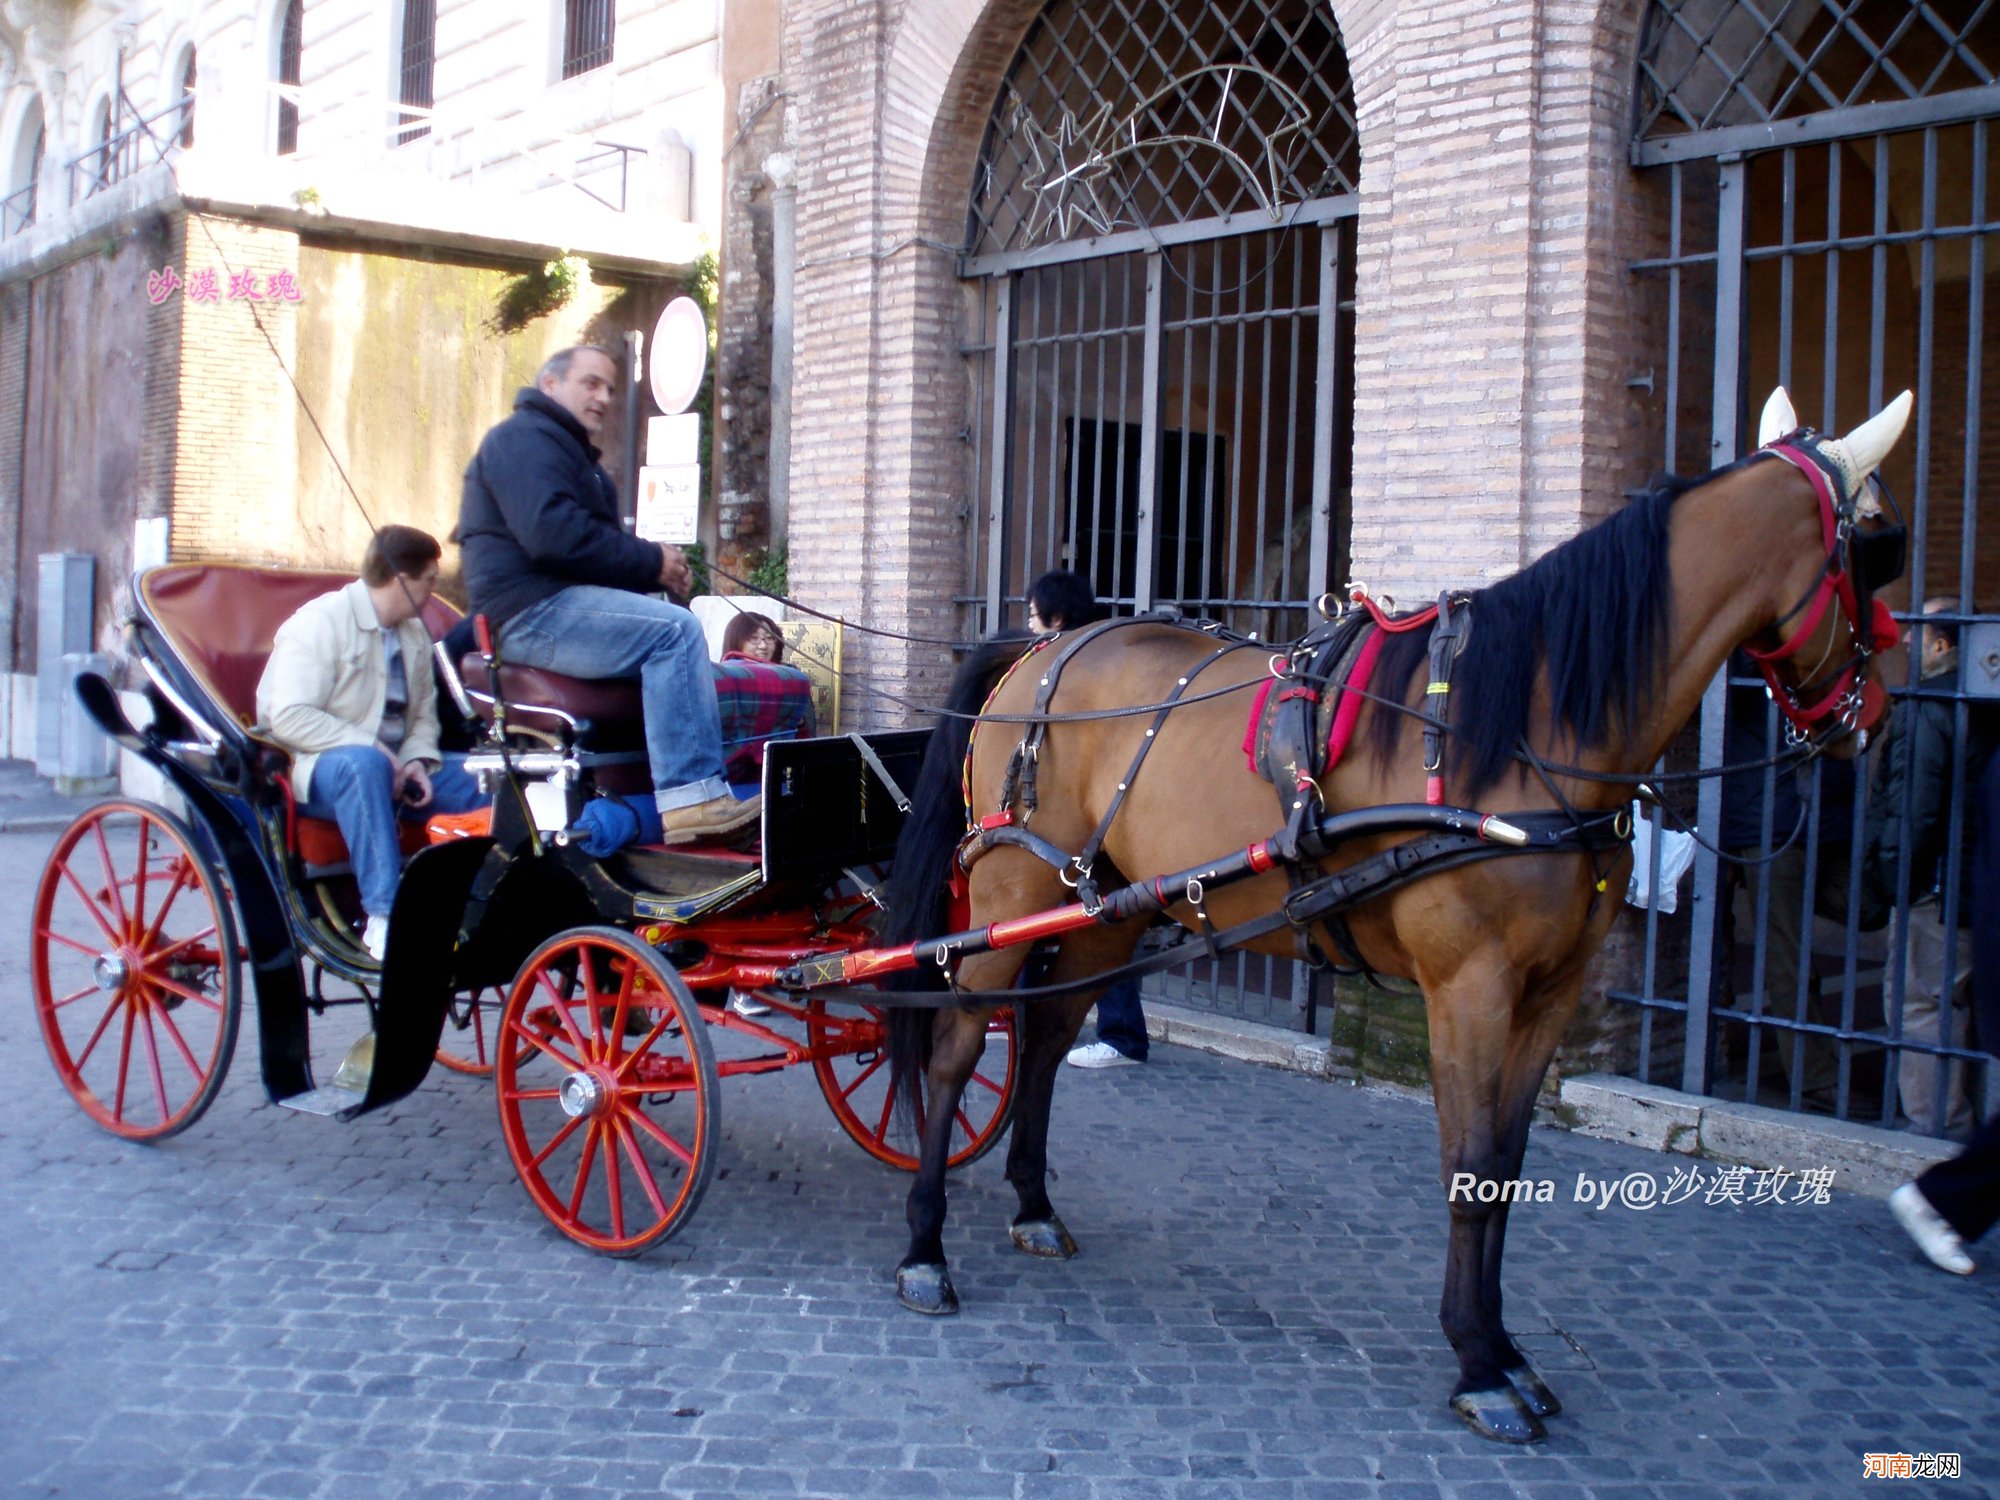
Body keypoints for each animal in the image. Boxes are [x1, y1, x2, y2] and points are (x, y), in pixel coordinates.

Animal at [884, 390, 1912, 1448]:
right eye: (1881, 541)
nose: (1877, 708)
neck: (1526, 724)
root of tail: (1045, 648)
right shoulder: (1467, 988)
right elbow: (1469, 1165)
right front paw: (1478, 1363)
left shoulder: (1551, 991)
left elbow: (1506, 1166)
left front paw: (1506, 1350)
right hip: (1013, 891)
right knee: (960, 1046)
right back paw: (925, 1247)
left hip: (1106, 904)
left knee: (1046, 1037)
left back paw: (1033, 1203)